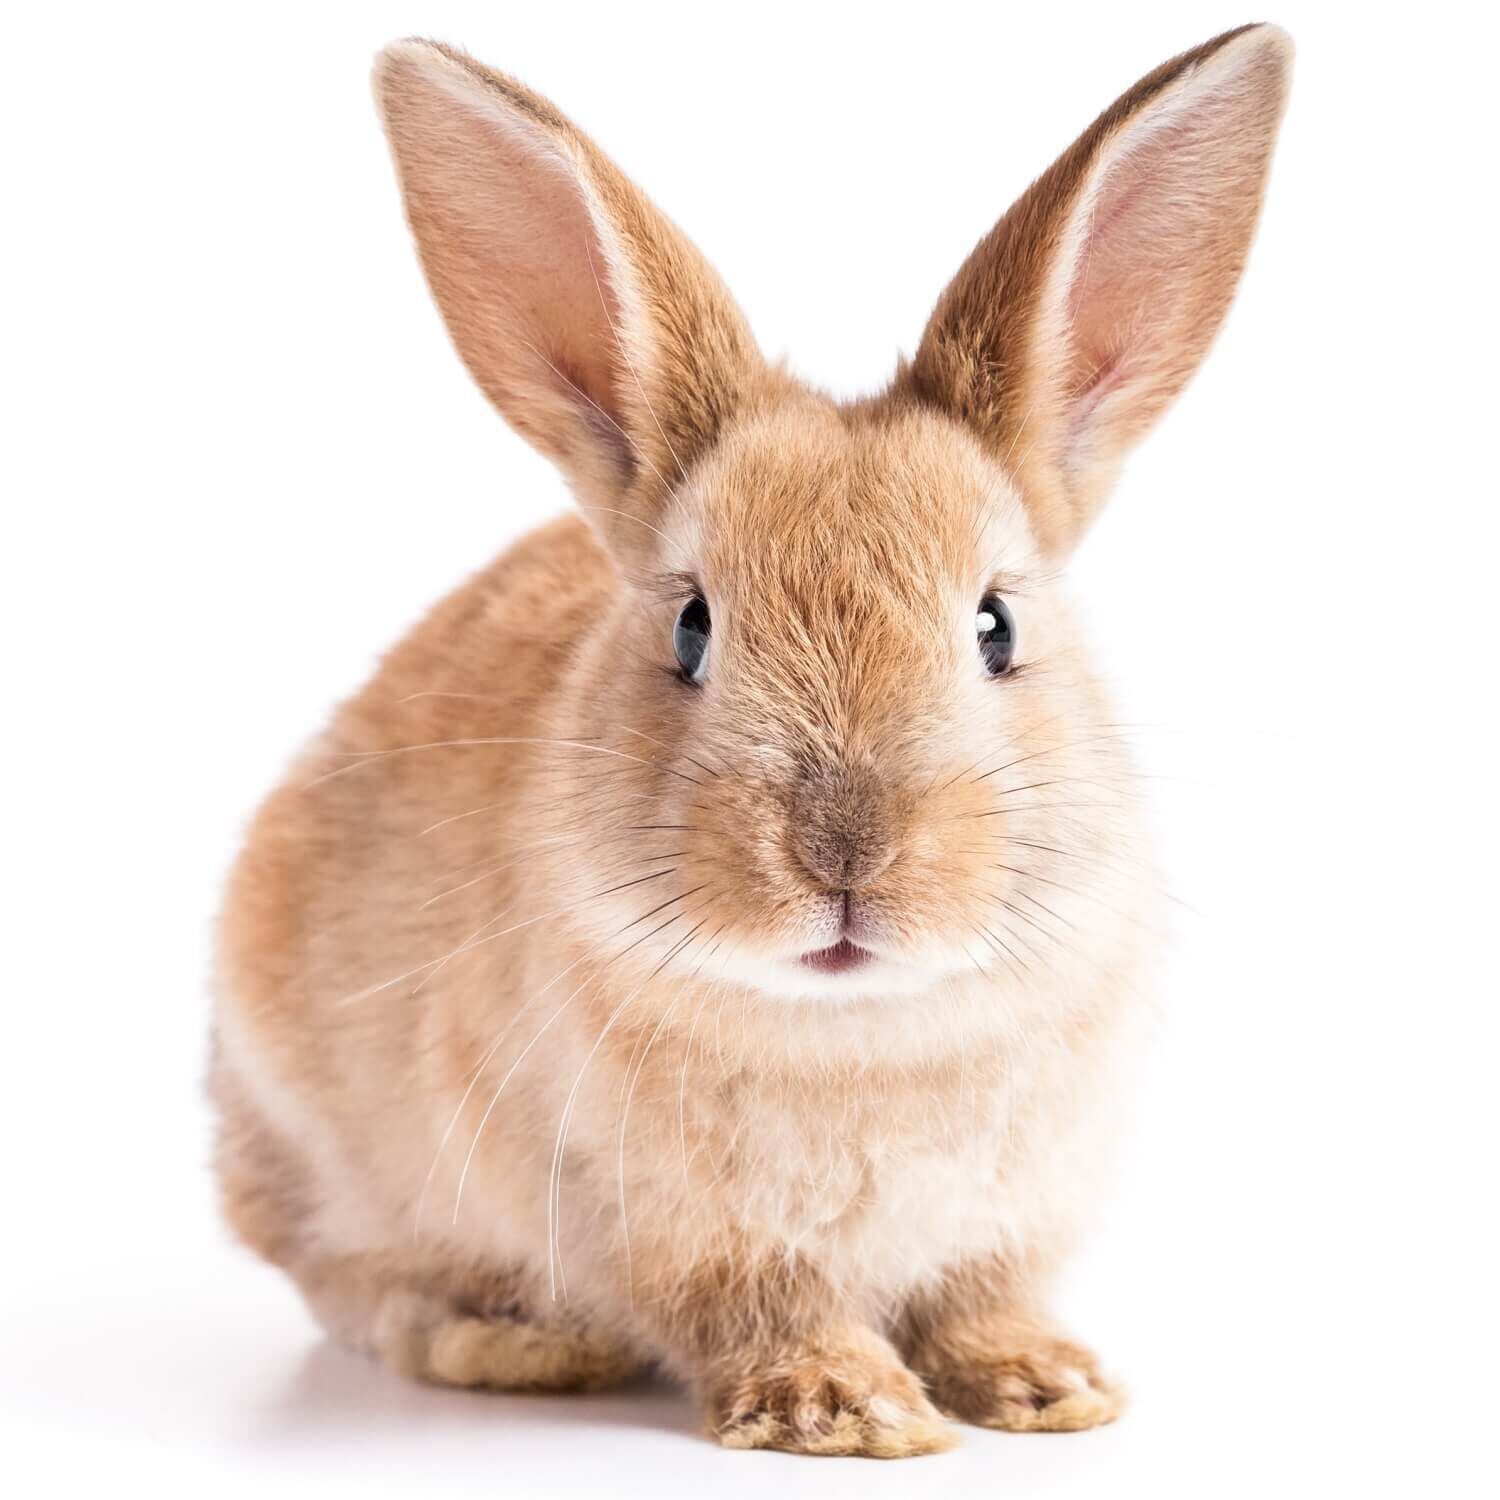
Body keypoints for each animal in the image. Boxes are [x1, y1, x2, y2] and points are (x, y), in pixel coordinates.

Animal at [211, 24, 1291, 1458]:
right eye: (690, 628)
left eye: (997, 625)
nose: (844, 854)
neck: (858, 1031)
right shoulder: (679, 1237)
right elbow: (757, 1311)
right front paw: (847, 1412)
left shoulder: (1006, 1227)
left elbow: (983, 1301)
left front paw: (1049, 1388)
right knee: (353, 1280)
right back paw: (512, 1341)